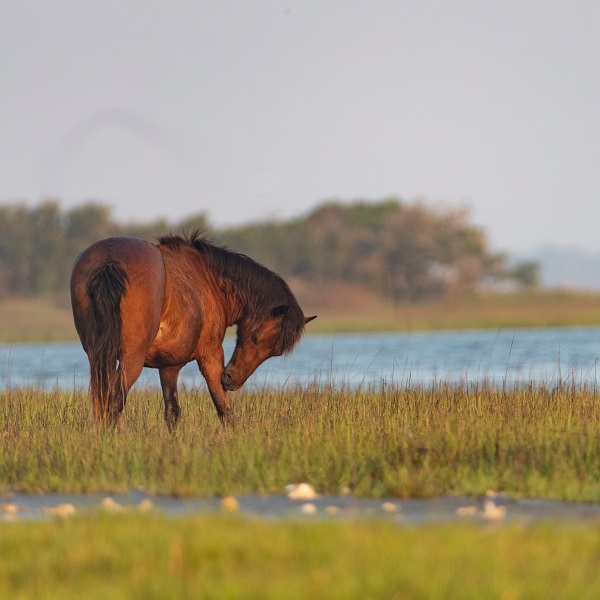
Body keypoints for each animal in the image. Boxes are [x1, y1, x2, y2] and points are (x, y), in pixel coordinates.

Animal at [69, 232, 314, 428]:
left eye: (275, 351)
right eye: (256, 337)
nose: (231, 379)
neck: (210, 279)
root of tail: (109, 260)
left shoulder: (168, 366)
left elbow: (172, 412)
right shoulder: (210, 356)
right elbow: (224, 409)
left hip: (99, 358)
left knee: (102, 404)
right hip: (131, 361)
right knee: (113, 404)